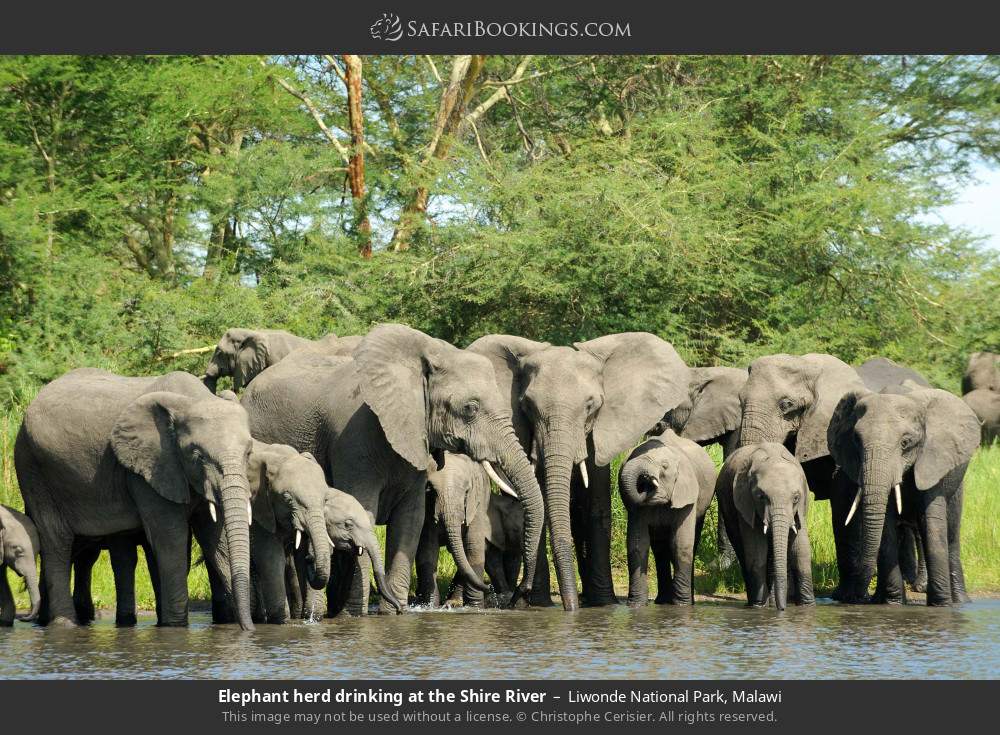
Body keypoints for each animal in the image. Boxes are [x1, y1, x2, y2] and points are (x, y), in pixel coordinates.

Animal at [15, 368, 256, 629]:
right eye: (198, 456)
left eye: (248, 453)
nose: (251, 628)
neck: (192, 400)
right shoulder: (149, 468)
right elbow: (170, 537)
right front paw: (175, 627)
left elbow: (215, 538)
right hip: (33, 467)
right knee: (57, 541)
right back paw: (63, 625)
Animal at [467, 333, 690, 611]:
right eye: (528, 406)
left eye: (590, 406)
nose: (522, 592)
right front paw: (541, 604)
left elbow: (595, 509)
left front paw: (603, 604)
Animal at [617, 430, 716, 606]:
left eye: (664, 466)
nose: (646, 481)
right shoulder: (637, 509)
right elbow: (637, 545)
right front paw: (635, 605)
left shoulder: (687, 496)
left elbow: (680, 544)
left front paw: (682, 605)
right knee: (660, 548)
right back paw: (662, 601)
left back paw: (686, 601)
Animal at [716, 443, 814, 610]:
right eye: (761, 497)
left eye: (796, 498)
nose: (783, 609)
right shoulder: (746, 503)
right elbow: (756, 551)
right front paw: (759, 607)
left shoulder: (800, 510)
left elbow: (801, 550)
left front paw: (808, 606)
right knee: (743, 552)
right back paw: (757, 603)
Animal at [828, 387, 981, 606]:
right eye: (856, 440)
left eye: (905, 442)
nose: (856, 598)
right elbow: (887, 527)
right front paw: (894, 604)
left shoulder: (932, 460)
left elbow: (933, 523)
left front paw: (940, 605)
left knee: (951, 534)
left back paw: (960, 602)